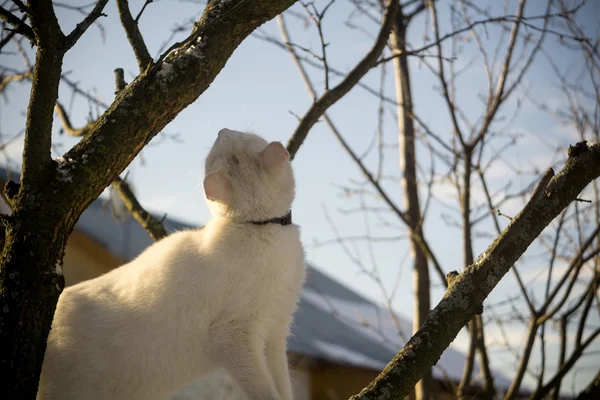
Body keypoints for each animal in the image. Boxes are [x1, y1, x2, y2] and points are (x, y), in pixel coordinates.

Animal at [38, 130, 304, 398]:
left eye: (238, 136)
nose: (222, 131)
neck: (258, 227)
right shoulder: (233, 335)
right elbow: (265, 390)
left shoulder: (275, 333)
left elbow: (282, 384)